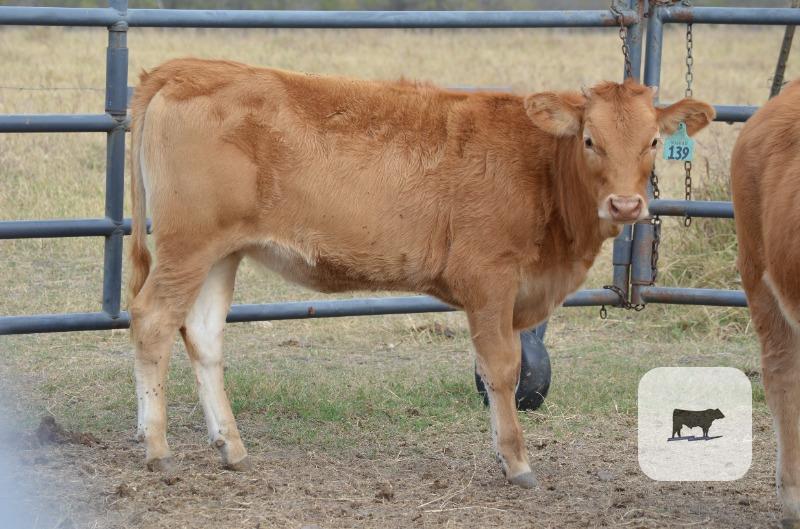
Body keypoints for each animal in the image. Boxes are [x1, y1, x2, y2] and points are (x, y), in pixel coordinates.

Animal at [127, 58, 714, 488]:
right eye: (591, 139)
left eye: (653, 142)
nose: (625, 205)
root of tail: (188, 68)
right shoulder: (489, 278)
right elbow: (501, 368)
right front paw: (516, 462)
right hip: (188, 245)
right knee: (152, 320)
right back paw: (157, 449)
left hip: (221, 253)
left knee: (203, 335)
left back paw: (231, 447)